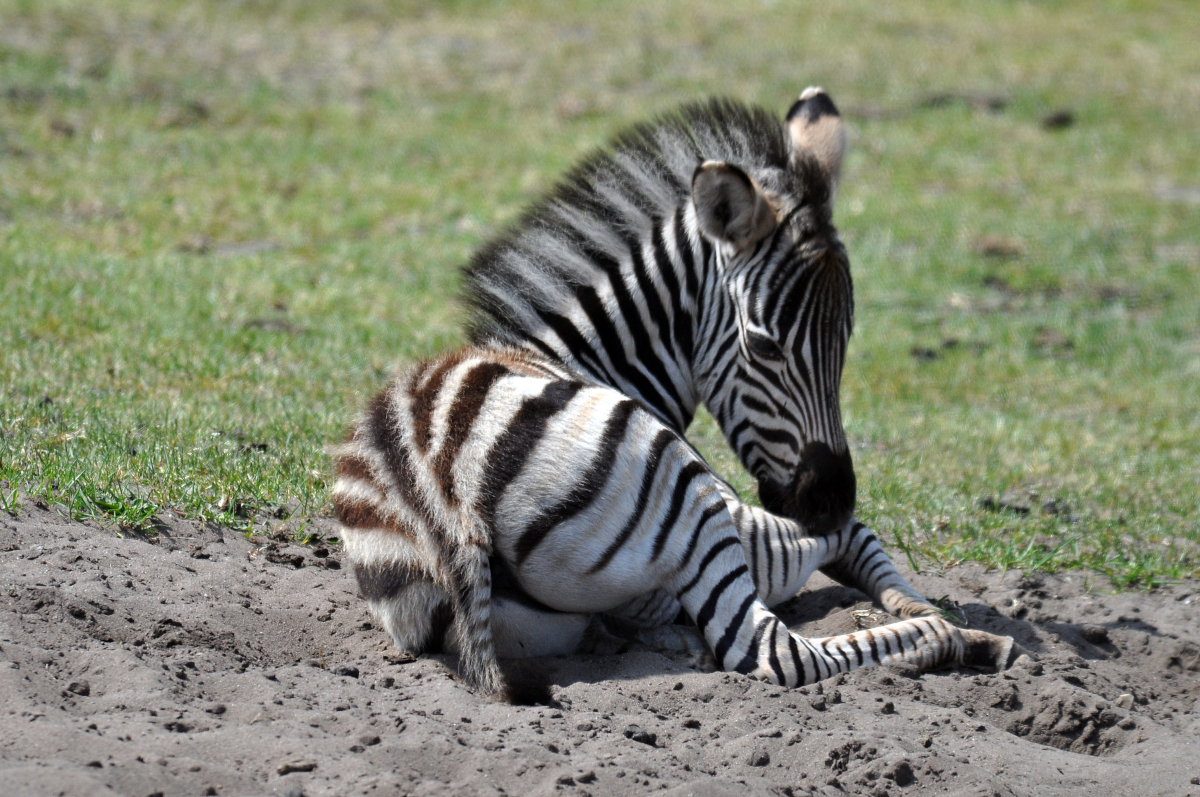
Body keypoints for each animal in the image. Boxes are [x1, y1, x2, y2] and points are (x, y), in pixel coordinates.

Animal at [333, 87, 1017, 700]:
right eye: (765, 346)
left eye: (846, 339)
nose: (830, 498)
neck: (575, 357)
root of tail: (439, 496)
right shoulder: (743, 517)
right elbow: (853, 536)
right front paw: (953, 622)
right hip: (687, 500)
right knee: (776, 652)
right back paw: (936, 637)